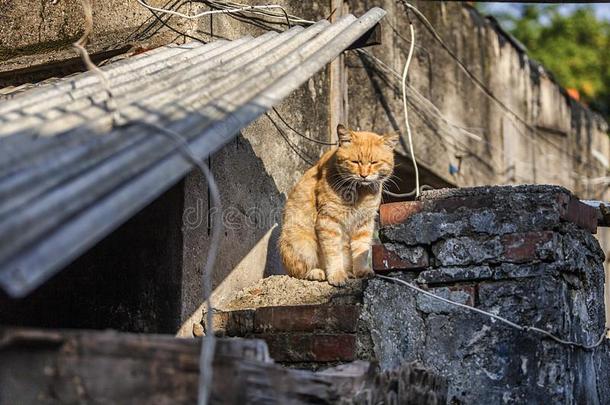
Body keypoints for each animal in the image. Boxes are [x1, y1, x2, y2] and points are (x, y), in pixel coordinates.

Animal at [278, 124, 396, 286]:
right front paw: (337, 275)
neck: (360, 191)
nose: (364, 175)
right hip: (301, 243)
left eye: (374, 162)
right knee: (299, 272)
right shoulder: (329, 221)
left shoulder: (364, 223)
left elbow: (361, 250)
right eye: (355, 162)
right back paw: (317, 273)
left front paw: (361, 271)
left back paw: (349, 273)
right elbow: (333, 253)